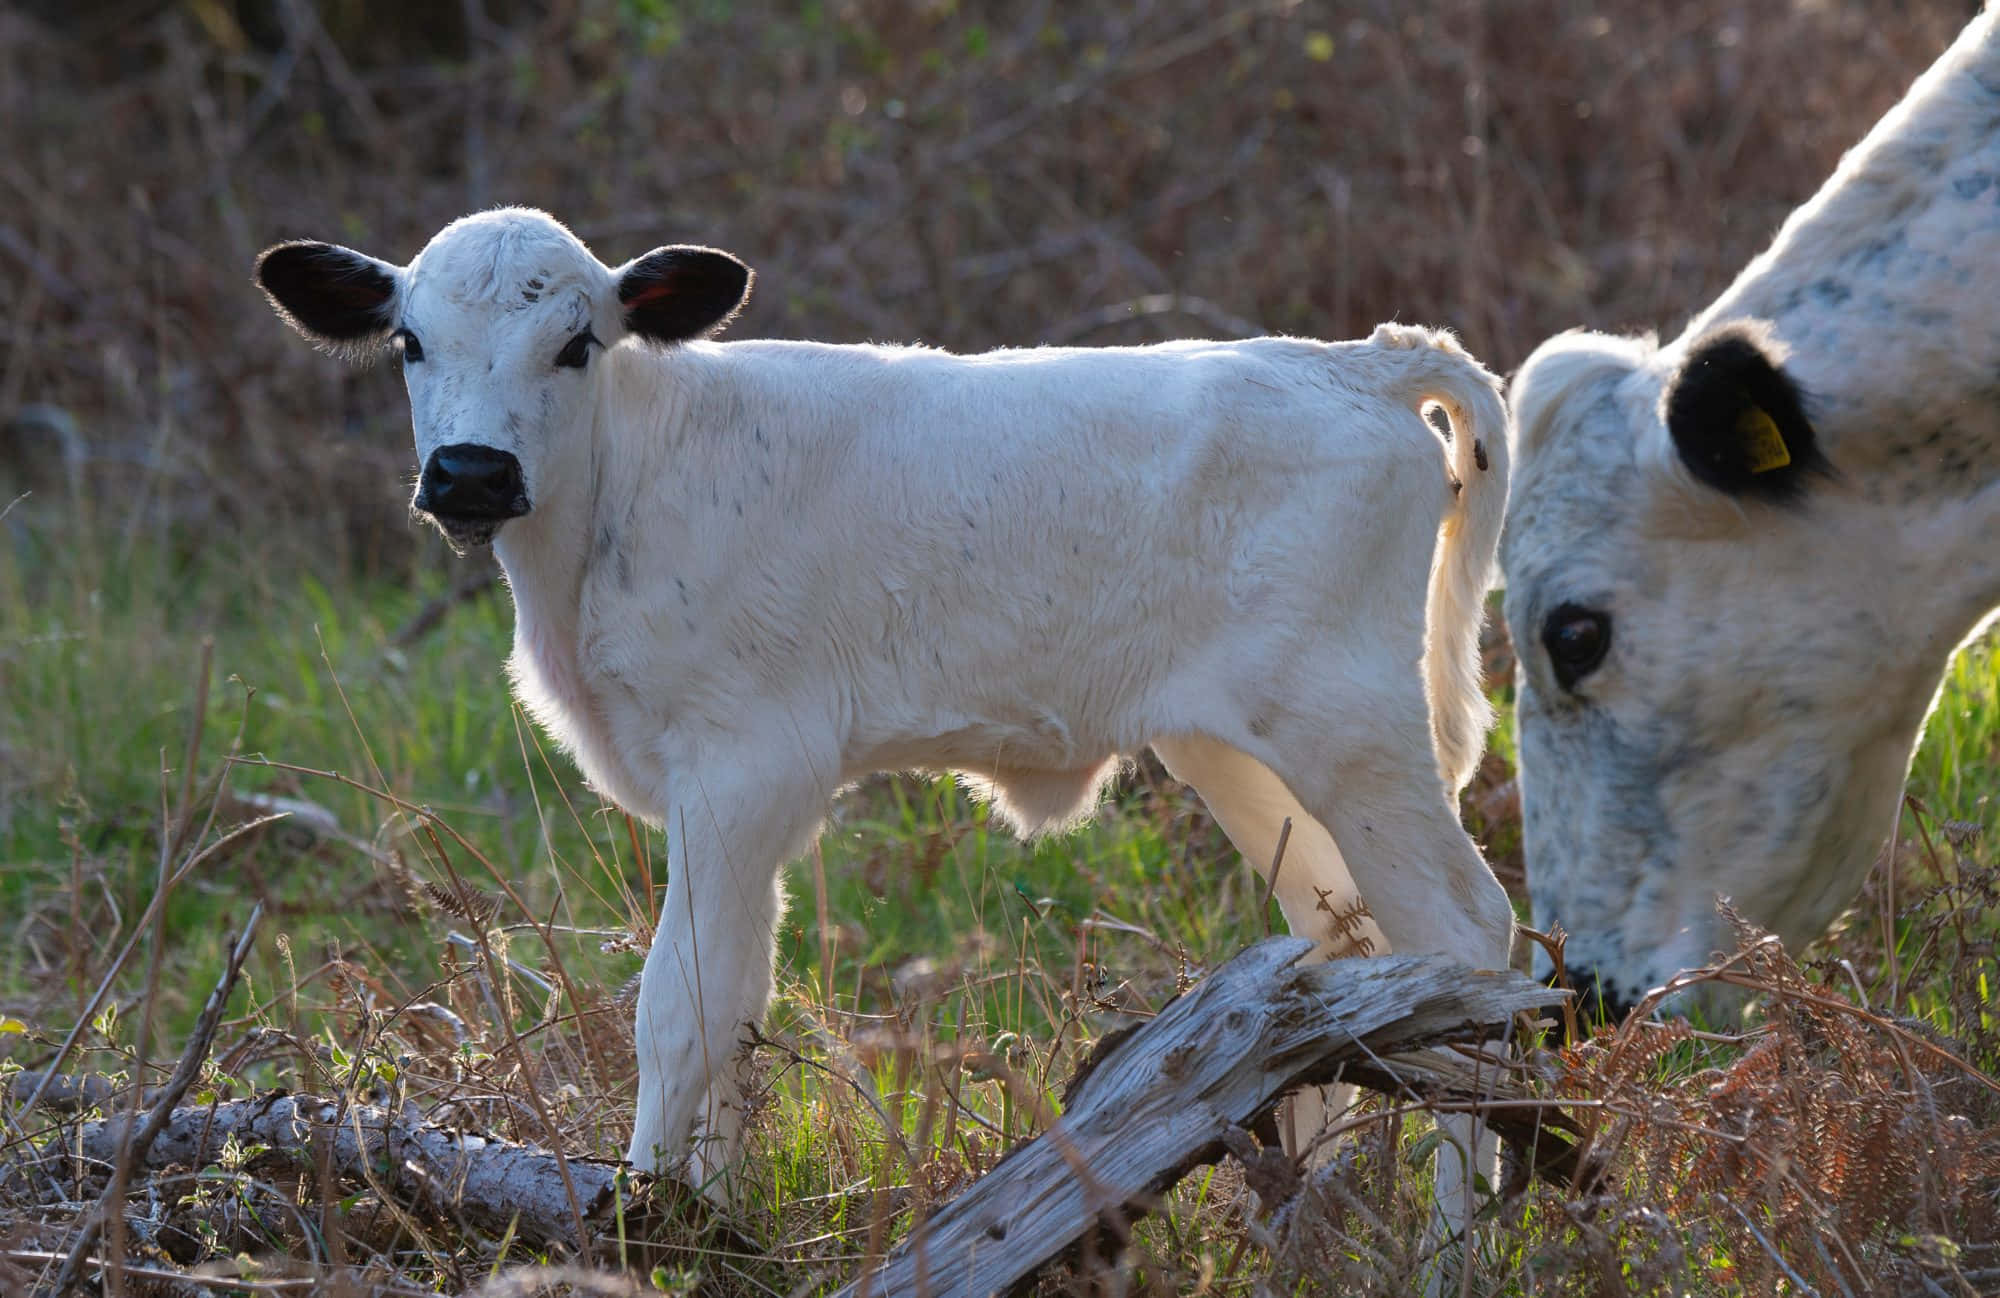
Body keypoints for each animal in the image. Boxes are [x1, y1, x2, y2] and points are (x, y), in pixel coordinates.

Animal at [254, 208, 1514, 1227]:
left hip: (1351, 725)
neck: (616, 498)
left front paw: (641, 1217)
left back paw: (1454, 1235)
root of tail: (1352, 357)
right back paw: (1318, 1198)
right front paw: (711, 1214)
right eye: (410, 343)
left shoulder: (745, 765)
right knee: (1340, 937)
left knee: (1463, 935)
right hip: (1237, 746)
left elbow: (679, 1005)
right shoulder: (730, 796)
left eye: (576, 342)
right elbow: (737, 998)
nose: (469, 474)